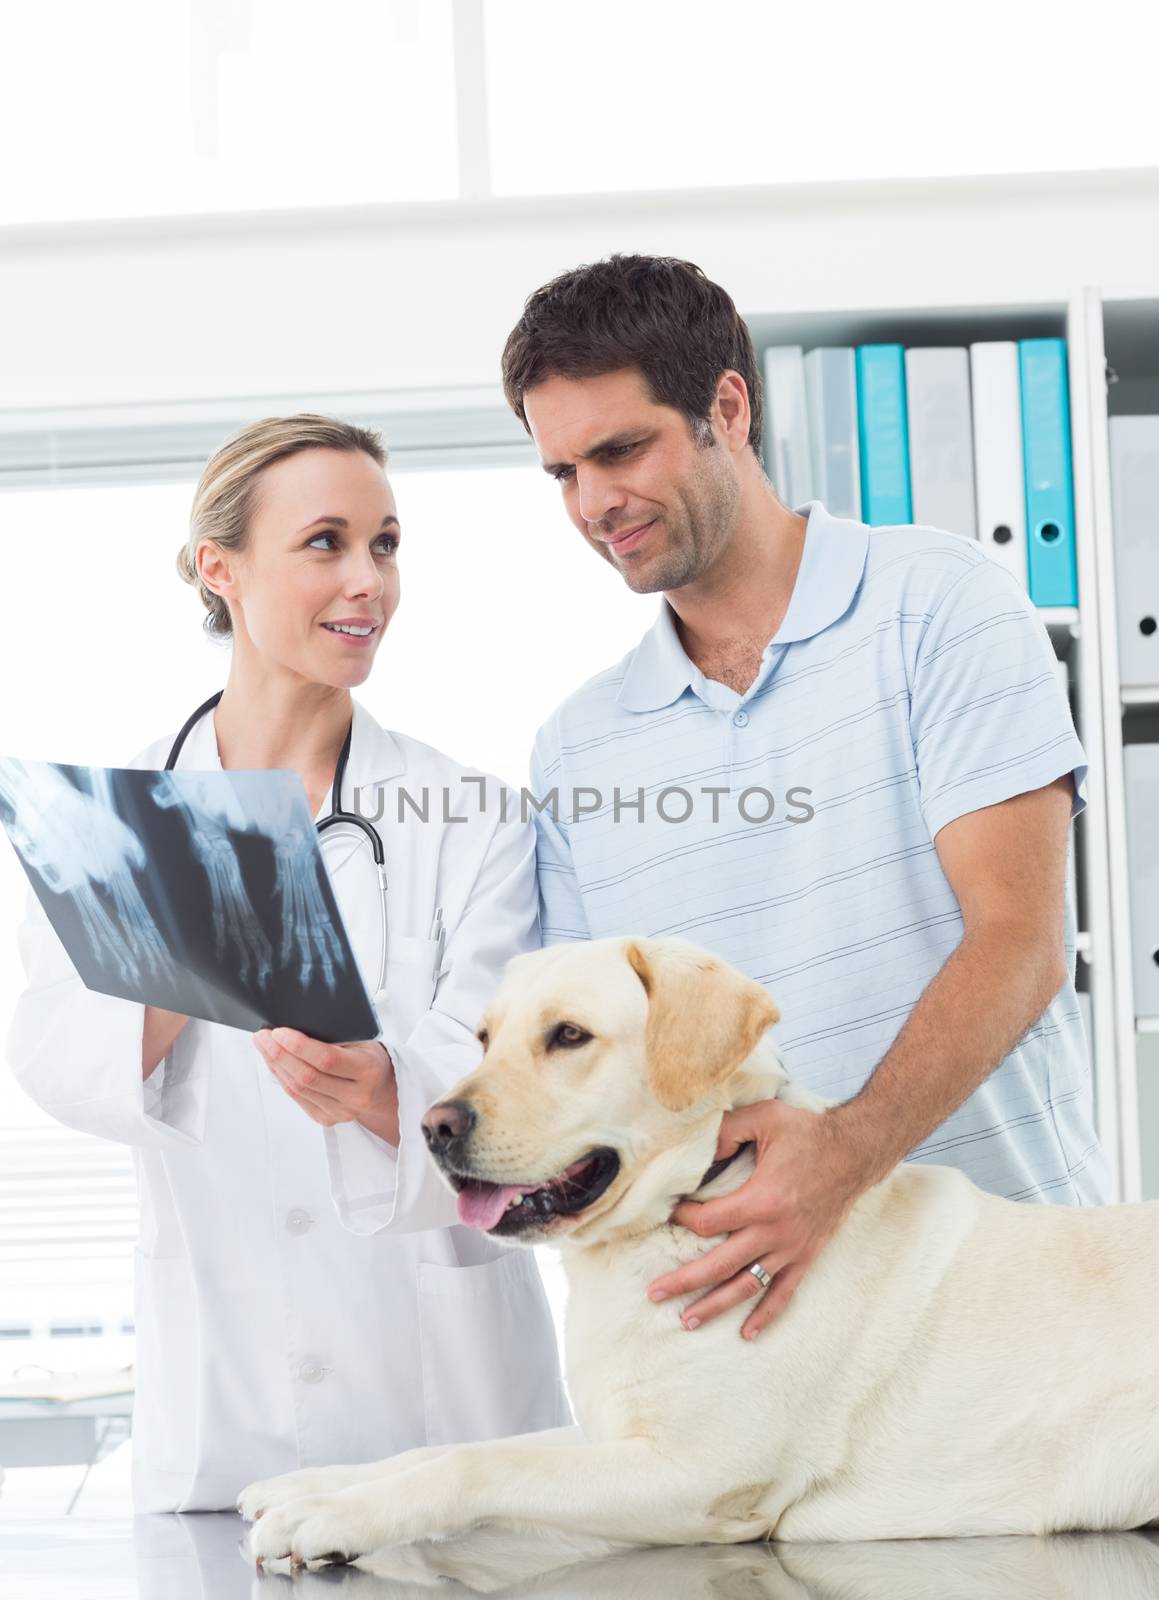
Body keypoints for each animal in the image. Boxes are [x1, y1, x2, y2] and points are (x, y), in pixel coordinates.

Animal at [241, 934, 1159, 1568]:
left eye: (568, 1036)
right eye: (482, 1038)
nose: (431, 1126)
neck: (670, 1217)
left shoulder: (696, 1477)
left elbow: (466, 1469)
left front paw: (332, 1518)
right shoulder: (610, 1433)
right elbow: (442, 1447)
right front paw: (307, 1486)